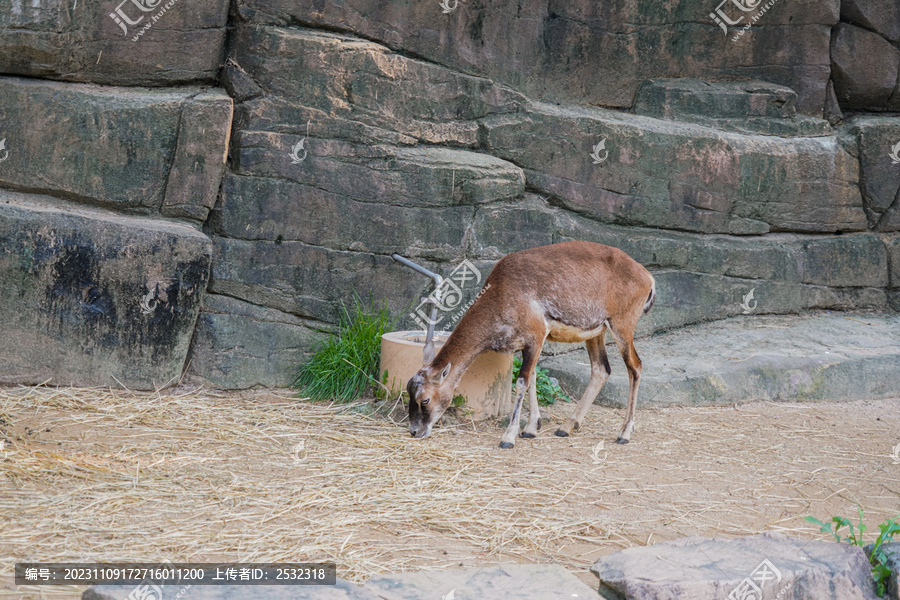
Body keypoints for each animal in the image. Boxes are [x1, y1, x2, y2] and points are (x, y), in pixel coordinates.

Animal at [408, 241, 652, 448]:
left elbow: (521, 381)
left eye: (425, 399)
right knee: (601, 369)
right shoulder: (526, 345)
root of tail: (648, 277)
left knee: (635, 366)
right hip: (595, 332)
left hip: (622, 325)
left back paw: (624, 433)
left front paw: (509, 437)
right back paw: (566, 427)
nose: (414, 431)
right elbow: (533, 376)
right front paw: (530, 429)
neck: (501, 295)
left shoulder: (536, 335)